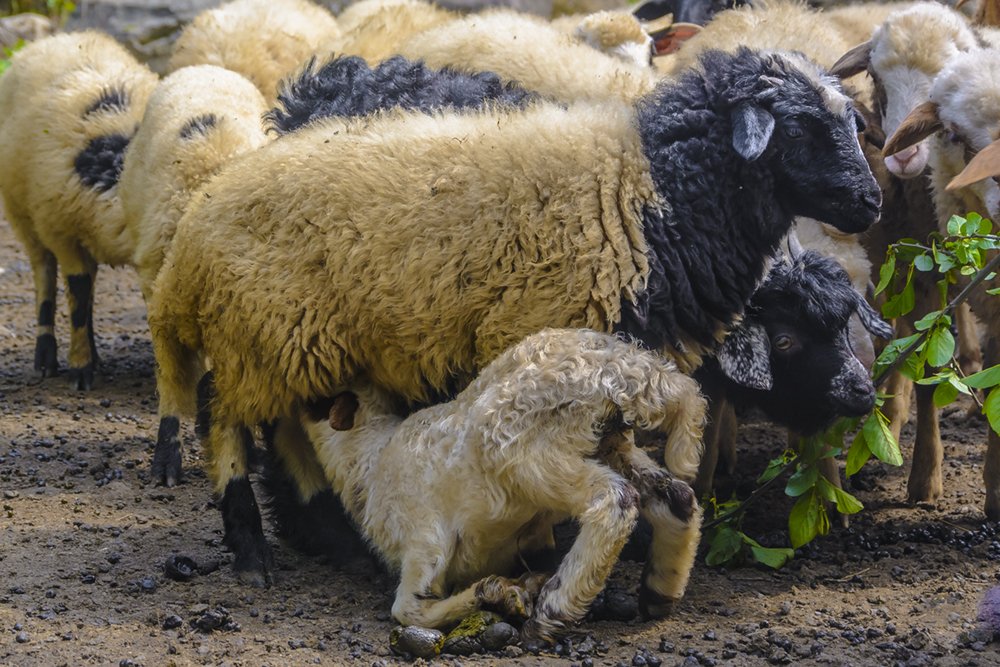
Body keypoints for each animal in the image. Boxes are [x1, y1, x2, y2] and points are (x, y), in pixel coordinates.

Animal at [0, 31, 158, 390]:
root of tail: (59, 38)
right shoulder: (61, 232)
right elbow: (77, 290)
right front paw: (80, 371)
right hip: (23, 216)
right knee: (45, 276)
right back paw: (47, 359)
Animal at [295, 328, 705, 641]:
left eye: (317, 400)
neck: (370, 457)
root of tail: (621, 367)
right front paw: (512, 589)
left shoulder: (424, 539)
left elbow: (407, 609)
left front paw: (494, 594)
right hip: (609, 444)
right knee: (678, 497)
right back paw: (660, 591)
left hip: (525, 450)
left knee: (614, 500)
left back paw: (552, 612)